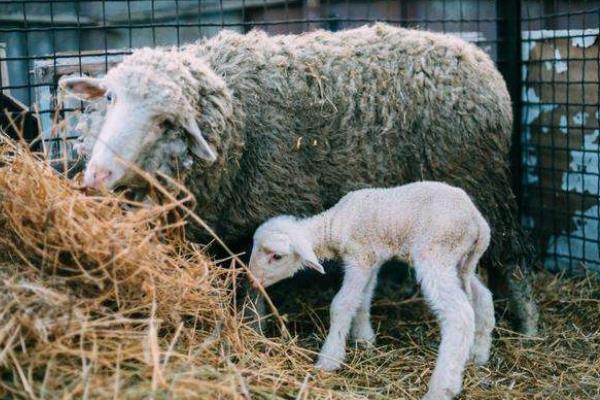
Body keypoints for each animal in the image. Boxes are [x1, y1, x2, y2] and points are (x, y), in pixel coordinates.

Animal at [59, 23, 540, 332]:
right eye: (110, 97)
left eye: (166, 123)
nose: (97, 175)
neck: (237, 115)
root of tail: (477, 56)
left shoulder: (267, 206)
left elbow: (256, 278)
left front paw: (253, 329)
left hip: (483, 183)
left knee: (514, 258)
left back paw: (529, 325)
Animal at [247, 182, 492, 400]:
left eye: (277, 256)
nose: (251, 279)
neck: (335, 225)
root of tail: (478, 222)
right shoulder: (372, 260)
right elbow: (362, 299)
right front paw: (364, 337)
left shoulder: (359, 258)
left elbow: (342, 304)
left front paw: (330, 358)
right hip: (460, 262)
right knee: (484, 296)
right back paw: (479, 353)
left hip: (436, 252)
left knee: (460, 314)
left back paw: (442, 388)